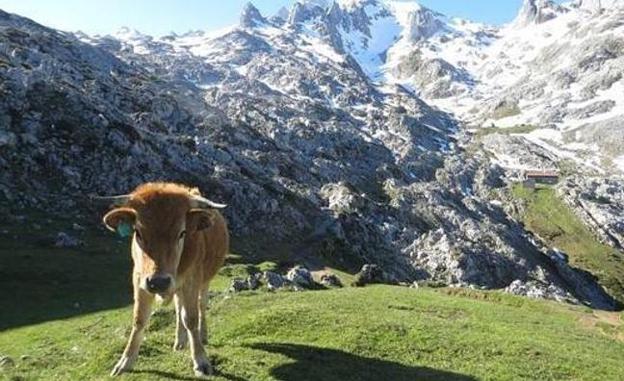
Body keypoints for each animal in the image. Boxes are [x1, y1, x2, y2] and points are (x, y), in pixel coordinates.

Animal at [100, 183, 229, 376]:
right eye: (138, 232)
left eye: (182, 233)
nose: (159, 282)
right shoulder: (139, 279)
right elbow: (139, 319)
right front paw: (125, 361)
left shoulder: (192, 280)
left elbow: (191, 318)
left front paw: (200, 360)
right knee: (179, 308)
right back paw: (180, 341)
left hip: (204, 280)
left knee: (200, 306)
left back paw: (202, 335)